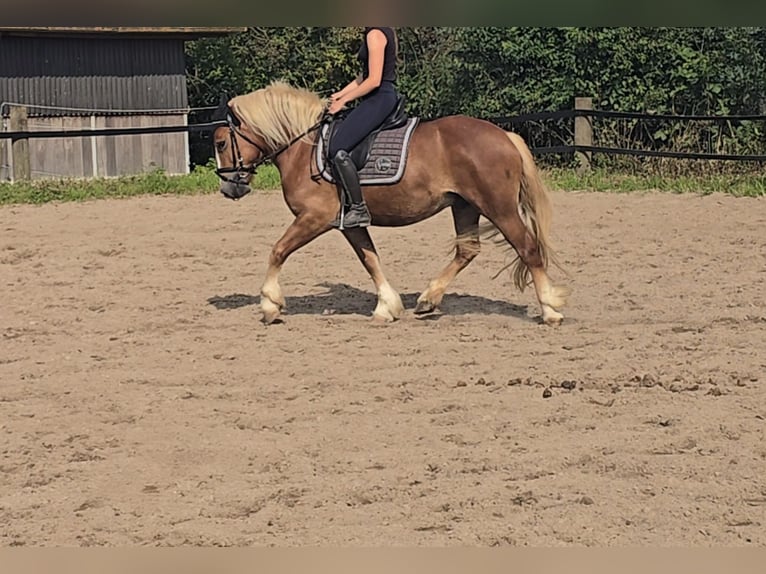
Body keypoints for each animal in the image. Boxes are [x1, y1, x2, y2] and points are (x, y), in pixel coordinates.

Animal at [210, 79, 568, 326]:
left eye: (221, 142)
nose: (228, 188)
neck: (303, 148)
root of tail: (505, 135)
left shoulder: (314, 217)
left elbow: (278, 251)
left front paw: (270, 305)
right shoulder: (347, 223)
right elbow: (369, 259)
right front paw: (387, 306)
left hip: (499, 208)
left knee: (528, 247)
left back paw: (550, 309)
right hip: (464, 205)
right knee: (467, 251)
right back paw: (428, 299)